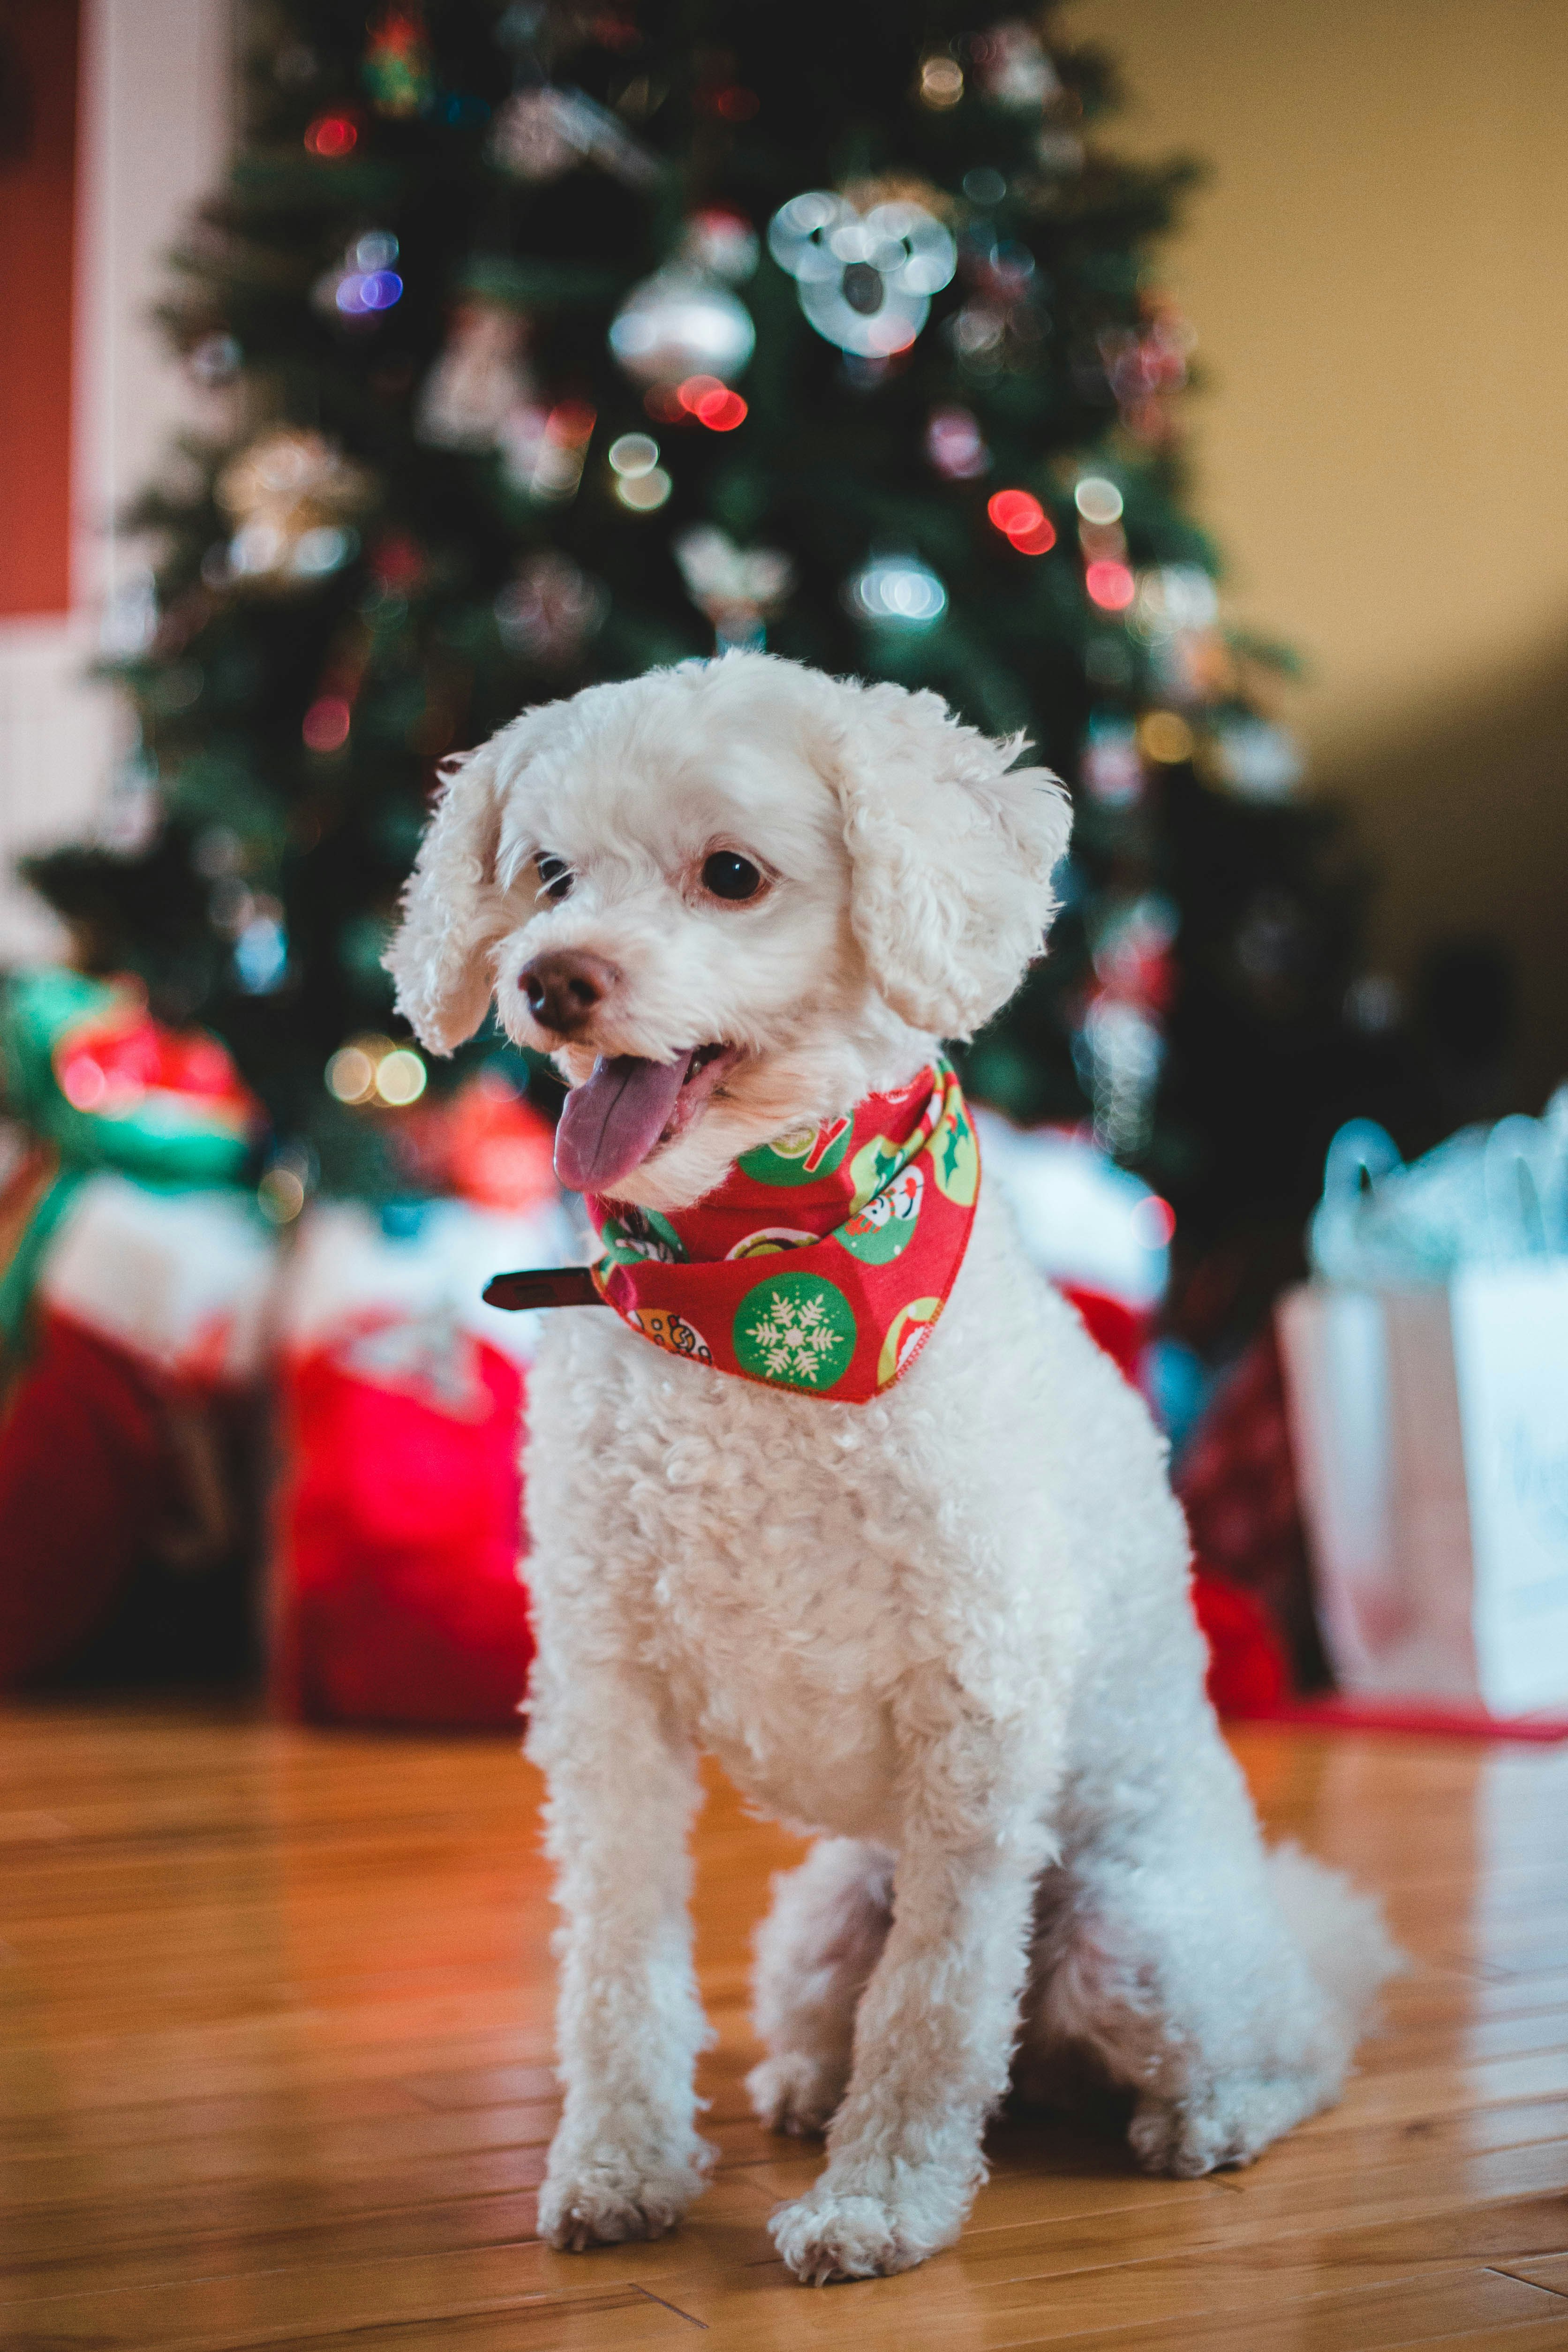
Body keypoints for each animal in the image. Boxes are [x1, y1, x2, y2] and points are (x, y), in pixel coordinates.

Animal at [390, 654, 1401, 2286]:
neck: (751, 1299)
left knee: (1285, 2039)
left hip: (1132, 1929)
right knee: (864, 2012)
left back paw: (1211, 2113)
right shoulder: (608, 1695)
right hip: (821, 1918)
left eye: (732, 874)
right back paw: (807, 2084)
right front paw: (618, 2166)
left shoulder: (977, 1721)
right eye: (547, 875)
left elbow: (935, 2005)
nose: (555, 981)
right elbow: (616, 1965)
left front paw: (882, 2205)